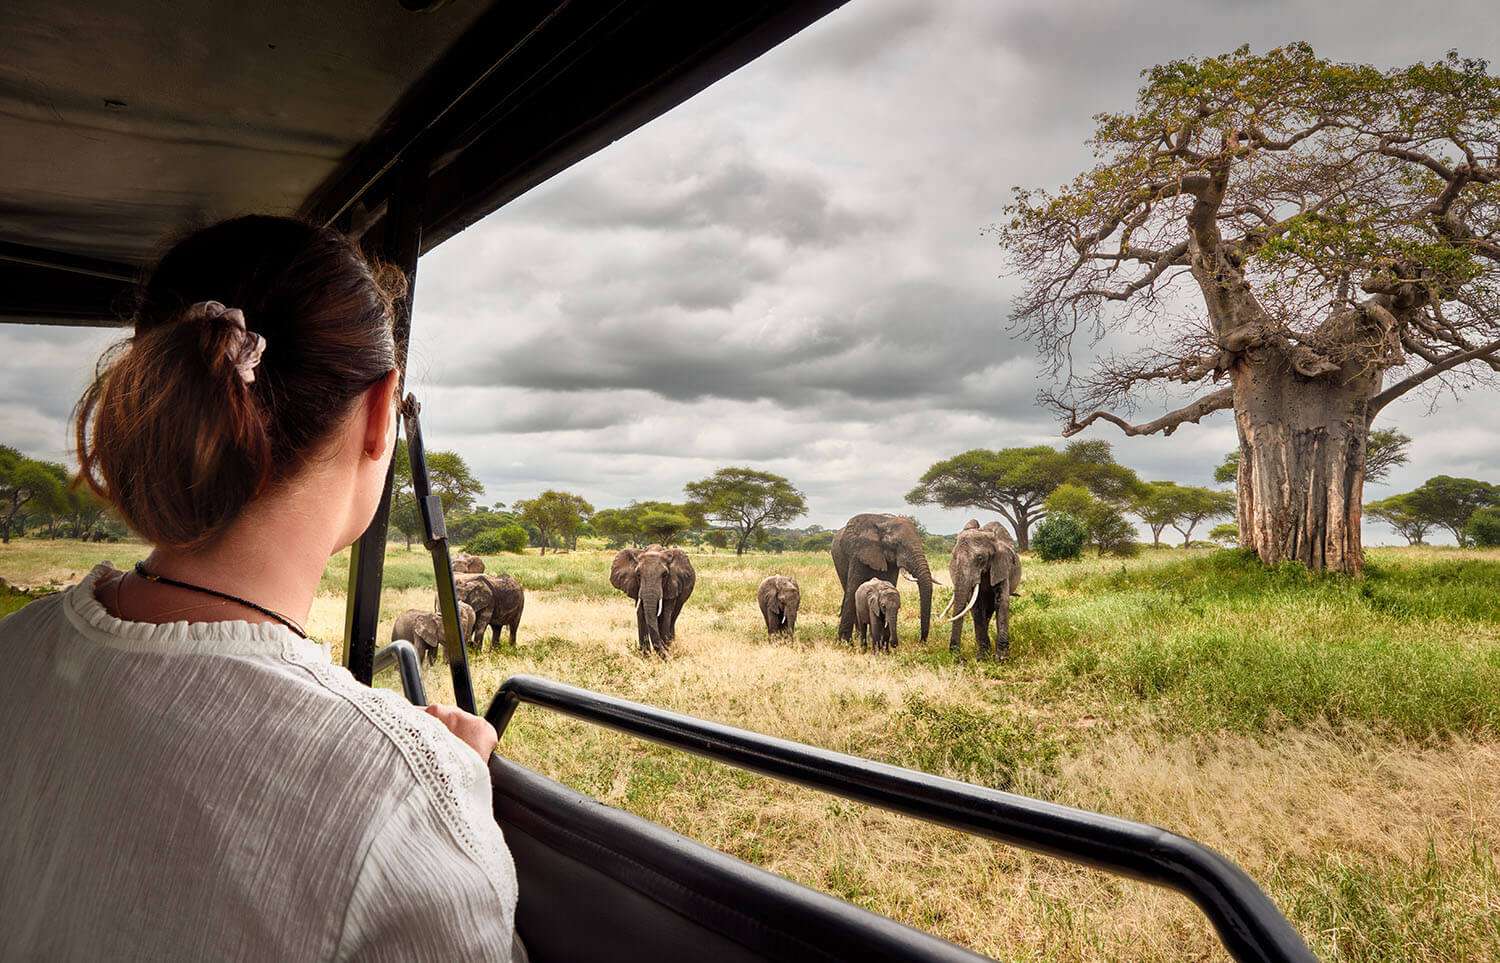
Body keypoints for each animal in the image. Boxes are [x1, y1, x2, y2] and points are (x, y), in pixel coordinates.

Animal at [942, 516, 1026, 660]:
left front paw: (1001, 659)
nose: (960, 659)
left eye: (980, 558)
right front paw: (982, 658)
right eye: (954, 557)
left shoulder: (1002, 567)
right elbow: (976, 606)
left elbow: (1001, 603)